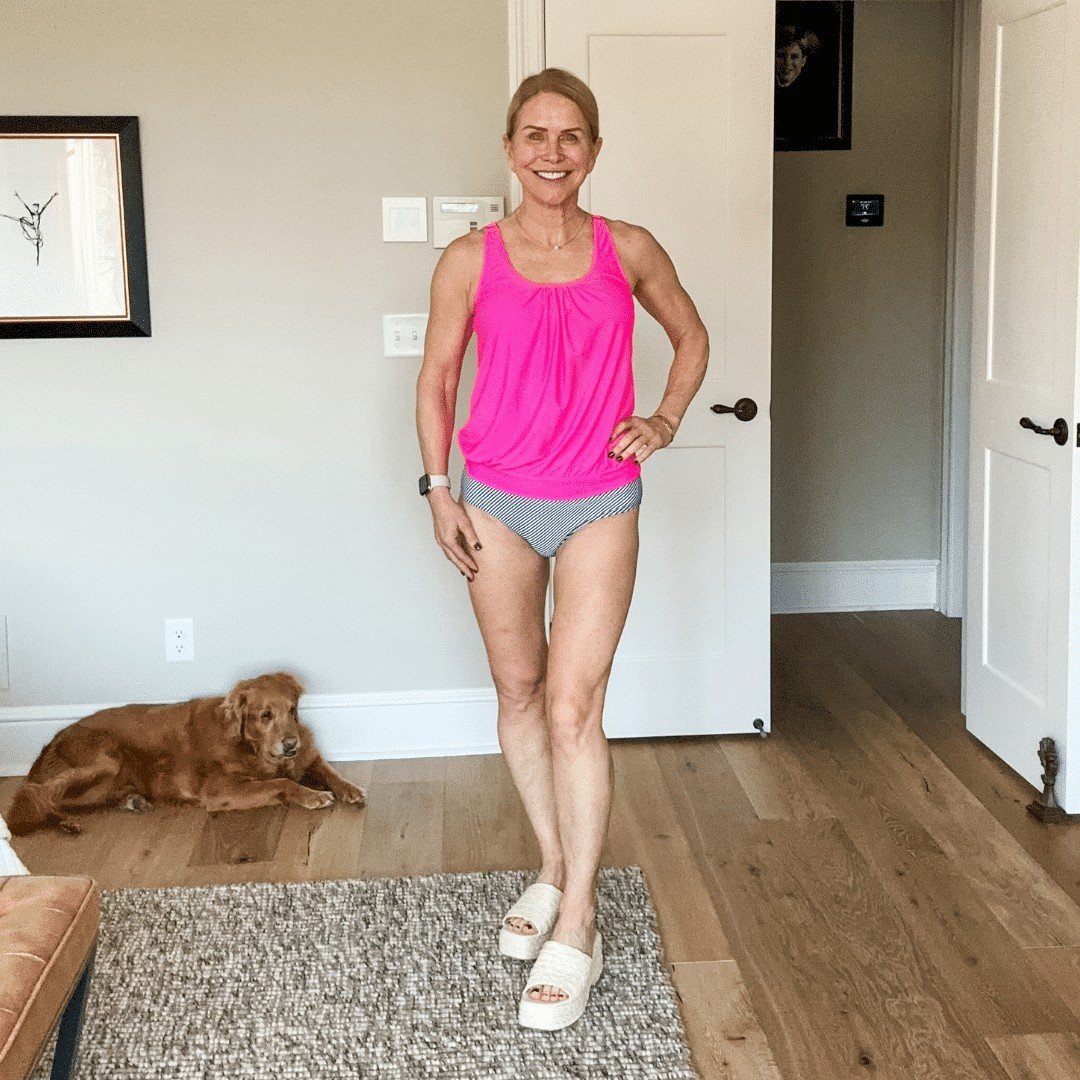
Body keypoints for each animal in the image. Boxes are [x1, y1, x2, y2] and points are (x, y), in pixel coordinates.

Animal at [4, 669, 367, 838]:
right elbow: (282, 784)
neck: (251, 747)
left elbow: (327, 768)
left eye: (292, 710)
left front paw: (350, 788)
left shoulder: (308, 753)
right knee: (35, 791)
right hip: (106, 758)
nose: (292, 744)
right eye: (265, 715)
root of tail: (52, 741)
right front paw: (311, 795)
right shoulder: (220, 791)